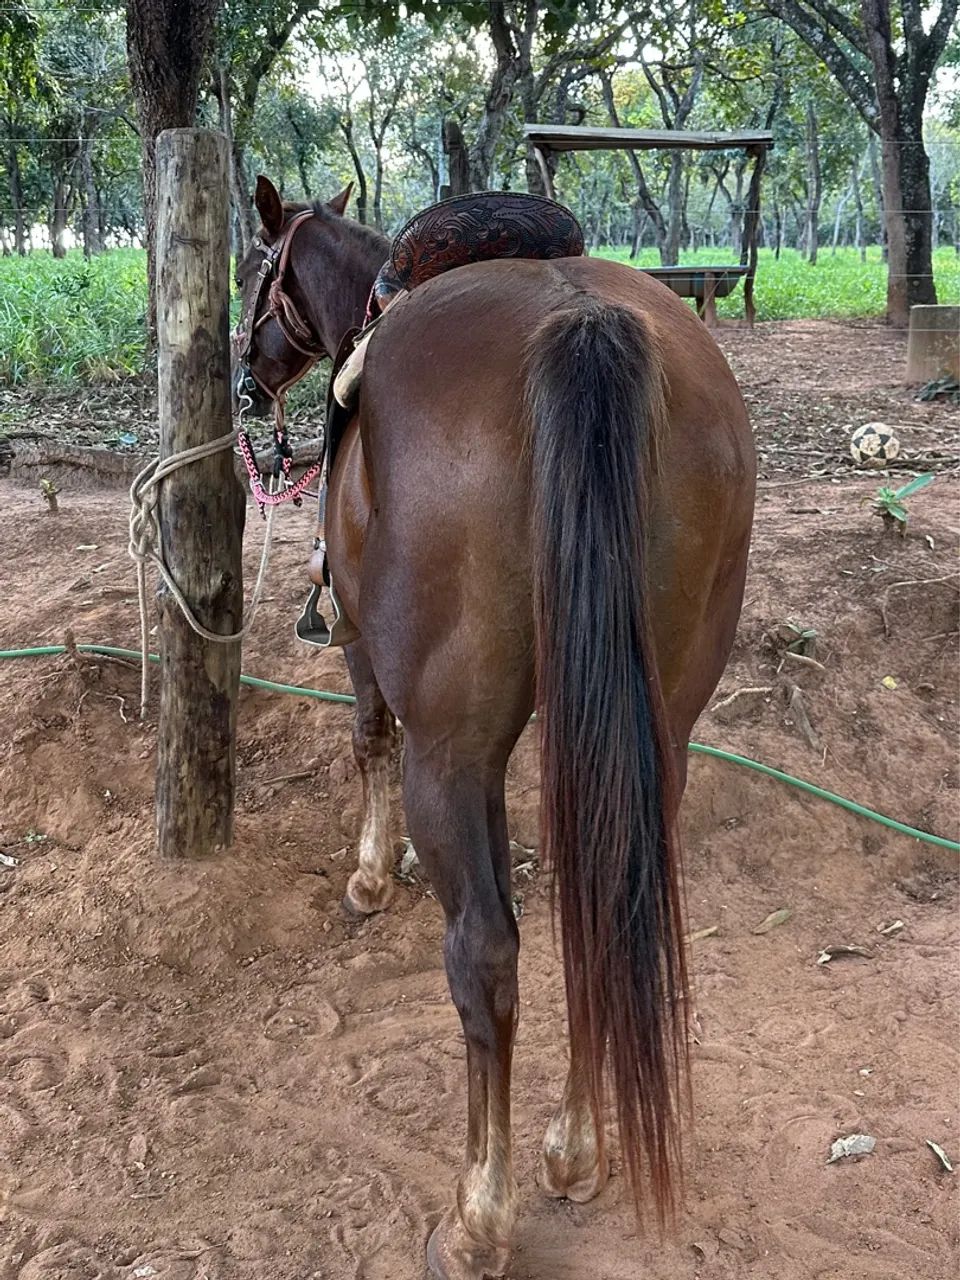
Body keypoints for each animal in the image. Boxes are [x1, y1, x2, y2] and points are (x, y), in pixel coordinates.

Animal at [233, 175, 756, 1280]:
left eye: (257, 269)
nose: (245, 381)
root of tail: (583, 326)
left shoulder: (365, 652)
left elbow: (367, 740)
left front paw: (371, 876)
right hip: (657, 727)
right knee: (606, 896)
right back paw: (576, 1146)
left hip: (455, 748)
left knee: (486, 952)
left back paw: (482, 1212)